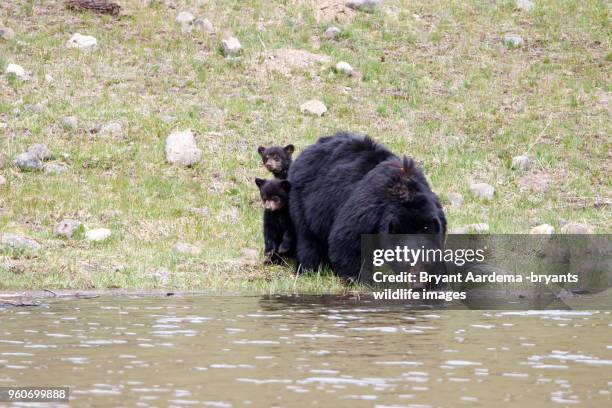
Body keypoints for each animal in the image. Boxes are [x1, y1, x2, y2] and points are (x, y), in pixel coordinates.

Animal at [290, 134, 448, 280]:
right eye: (406, 260)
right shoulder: (369, 209)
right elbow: (347, 241)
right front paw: (360, 279)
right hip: (305, 201)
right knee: (309, 239)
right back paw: (310, 269)